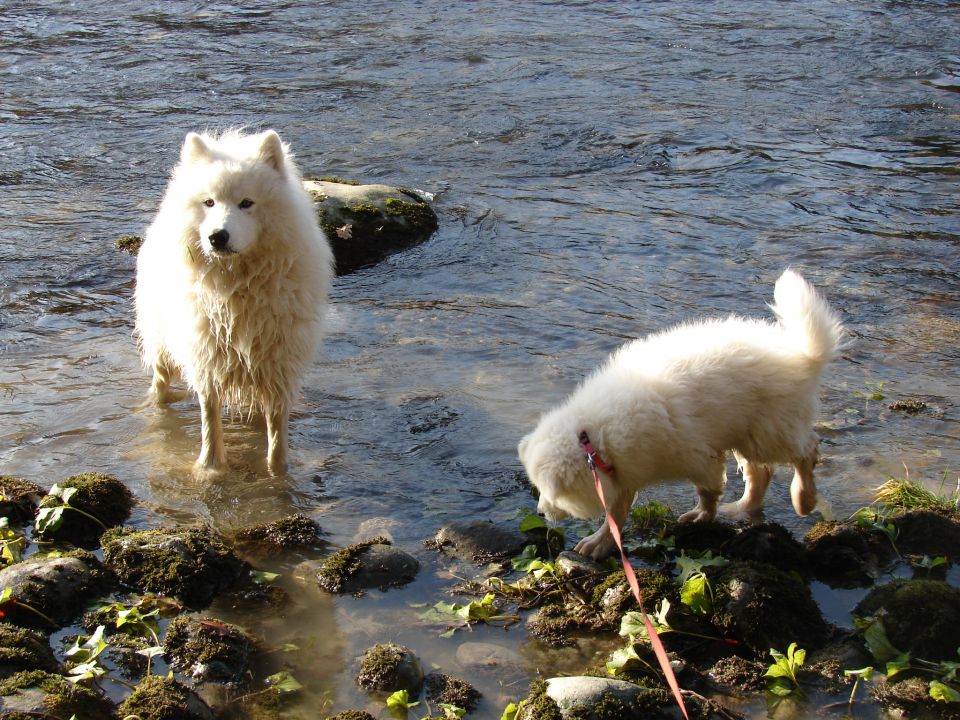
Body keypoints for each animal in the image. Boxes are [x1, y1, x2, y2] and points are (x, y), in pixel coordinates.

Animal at [133, 131, 332, 472]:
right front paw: (209, 468)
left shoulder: (279, 364)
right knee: (160, 382)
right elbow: (210, 420)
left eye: (246, 203)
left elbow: (276, 430)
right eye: (209, 202)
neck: (237, 286)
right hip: (161, 343)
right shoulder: (206, 357)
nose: (218, 237)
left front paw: (278, 472)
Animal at [520, 268, 844, 560]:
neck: (593, 436)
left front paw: (702, 515)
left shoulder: (697, 456)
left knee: (806, 451)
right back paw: (743, 507)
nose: (540, 512)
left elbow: (708, 489)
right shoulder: (625, 469)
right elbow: (618, 512)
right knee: (761, 472)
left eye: (551, 493)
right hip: (746, 430)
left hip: (769, 430)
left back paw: (803, 498)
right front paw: (601, 542)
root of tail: (801, 357)